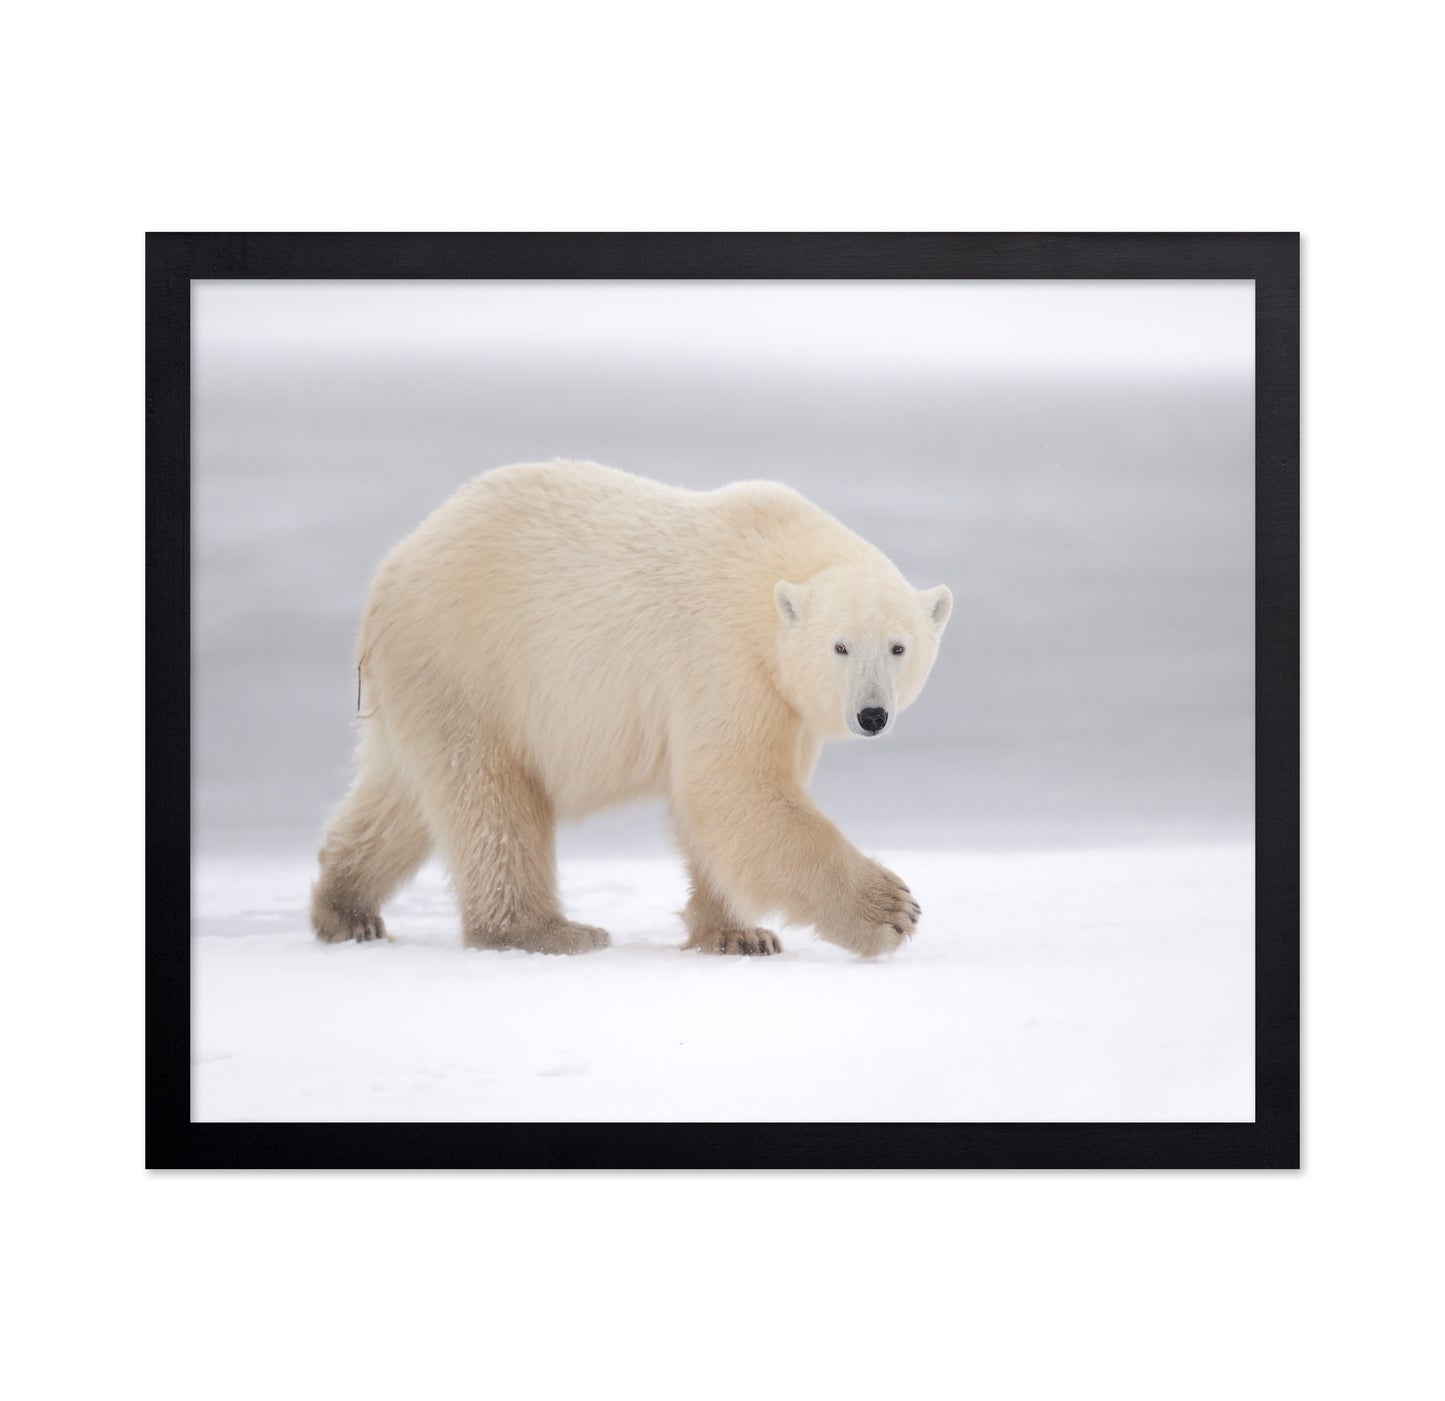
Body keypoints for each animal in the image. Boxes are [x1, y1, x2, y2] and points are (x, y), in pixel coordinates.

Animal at [311, 460, 952, 958]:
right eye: (839, 646)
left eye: (898, 646)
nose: (872, 715)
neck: (770, 567)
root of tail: (390, 573)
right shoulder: (724, 656)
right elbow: (733, 785)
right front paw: (891, 909)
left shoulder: (784, 701)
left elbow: (721, 806)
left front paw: (739, 935)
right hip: (472, 663)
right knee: (491, 802)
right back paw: (550, 931)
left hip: (426, 683)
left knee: (401, 797)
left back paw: (346, 908)